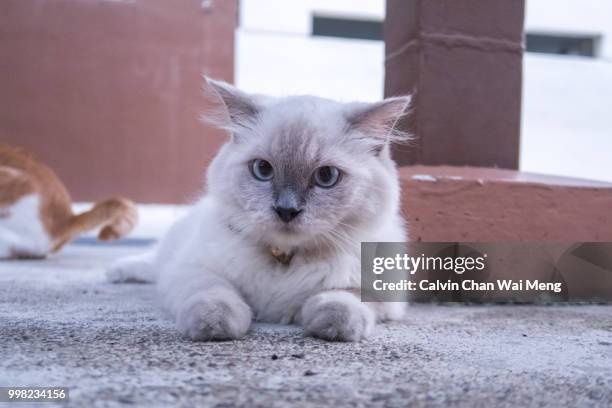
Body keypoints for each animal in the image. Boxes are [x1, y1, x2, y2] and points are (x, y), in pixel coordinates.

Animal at [109, 79, 412, 342]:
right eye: (262, 169)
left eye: (326, 176)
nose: (286, 210)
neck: (284, 259)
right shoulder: (195, 269)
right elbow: (214, 294)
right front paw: (215, 326)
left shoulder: (379, 293)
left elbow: (341, 300)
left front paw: (333, 327)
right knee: (154, 263)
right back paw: (118, 272)